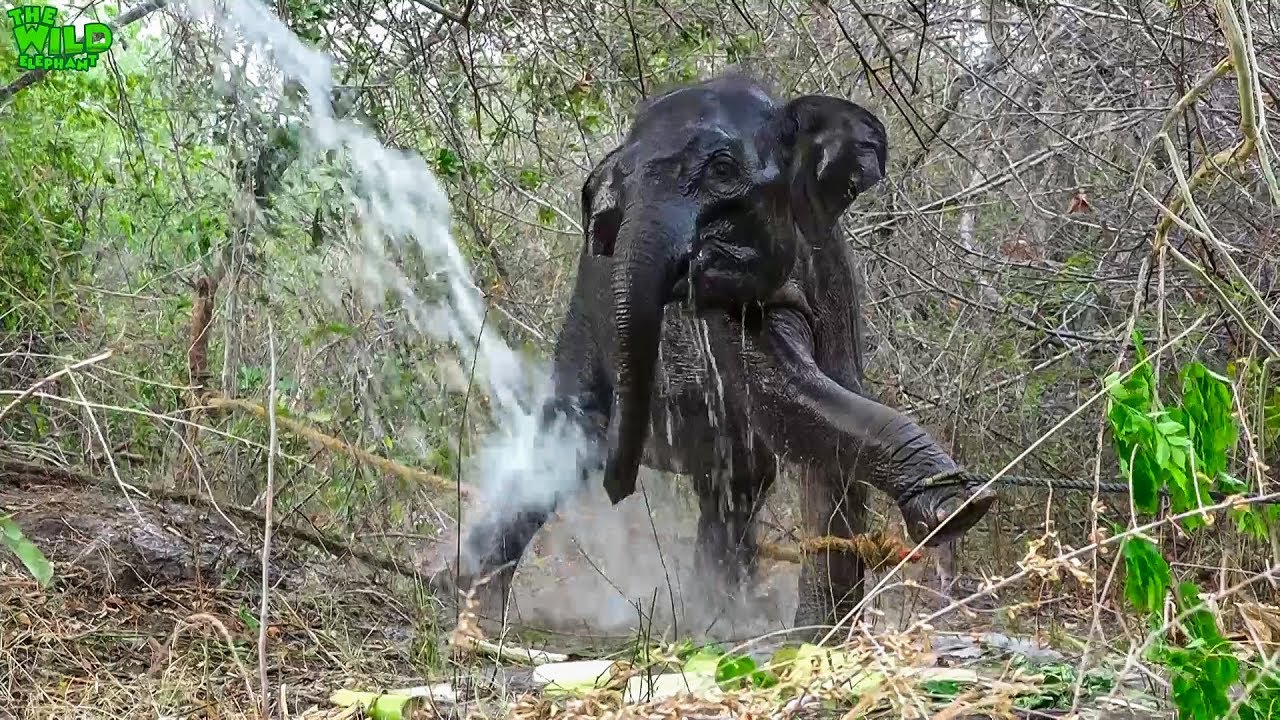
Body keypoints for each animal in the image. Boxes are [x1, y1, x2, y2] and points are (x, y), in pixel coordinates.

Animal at [452, 70, 997, 633]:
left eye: (722, 170)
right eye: (616, 194)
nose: (617, 489)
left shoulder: (832, 273)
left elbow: (827, 413)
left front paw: (822, 634)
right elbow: (790, 405)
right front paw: (956, 504)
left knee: (733, 486)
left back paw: (715, 617)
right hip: (584, 323)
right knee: (564, 443)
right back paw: (476, 618)